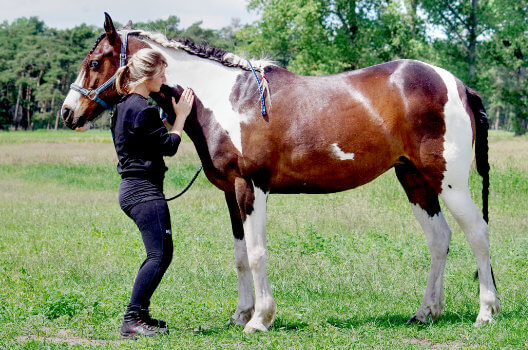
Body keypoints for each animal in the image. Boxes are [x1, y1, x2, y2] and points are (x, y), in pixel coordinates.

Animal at [60, 13, 500, 330]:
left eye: (94, 61)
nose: (67, 113)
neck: (226, 99)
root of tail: (459, 85)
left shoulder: (251, 188)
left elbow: (257, 254)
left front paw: (259, 320)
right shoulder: (230, 193)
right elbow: (240, 255)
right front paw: (240, 314)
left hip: (450, 182)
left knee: (478, 235)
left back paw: (486, 312)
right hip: (414, 180)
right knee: (440, 239)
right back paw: (426, 312)